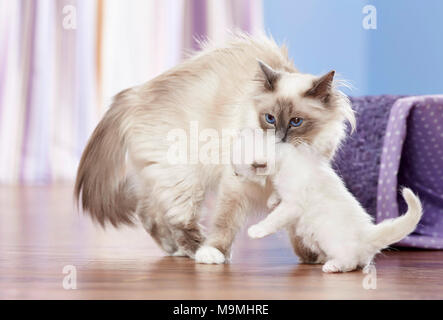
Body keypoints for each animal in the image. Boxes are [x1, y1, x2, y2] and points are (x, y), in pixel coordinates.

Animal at [74, 33, 356, 262]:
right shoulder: (235, 183)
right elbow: (224, 222)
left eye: (296, 122)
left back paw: (175, 250)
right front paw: (214, 251)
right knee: (176, 217)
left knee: (148, 214)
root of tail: (133, 95)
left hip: (161, 177)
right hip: (184, 176)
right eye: (269, 118)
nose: (279, 137)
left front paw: (310, 256)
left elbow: (296, 227)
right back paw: (196, 250)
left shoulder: (294, 191)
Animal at [232, 142, 424, 272]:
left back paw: (332, 266)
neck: (287, 159)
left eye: (238, 170)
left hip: (331, 241)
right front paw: (272, 200)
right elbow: (277, 195)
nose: (234, 173)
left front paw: (257, 230)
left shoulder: (292, 205)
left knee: (350, 263)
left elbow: (274, 218)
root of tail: (368, 234)